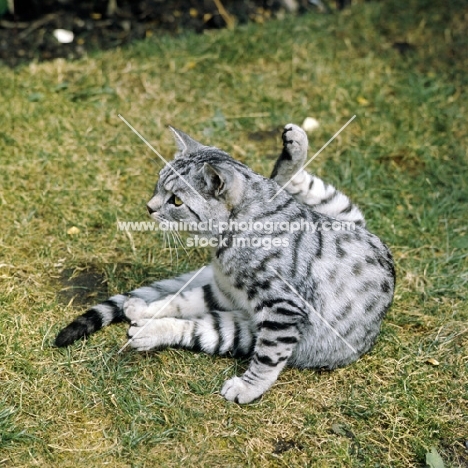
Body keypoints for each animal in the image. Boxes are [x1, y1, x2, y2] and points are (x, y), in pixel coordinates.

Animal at [54, 123, 394, 402]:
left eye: (176, 200)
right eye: (158, 185)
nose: (149, 208)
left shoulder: (282, 308)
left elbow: (268, 358)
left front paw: (249, 388)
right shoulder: (224, 289)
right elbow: (181, 299)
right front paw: (145, 308)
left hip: (247, 330)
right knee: (282, 182)